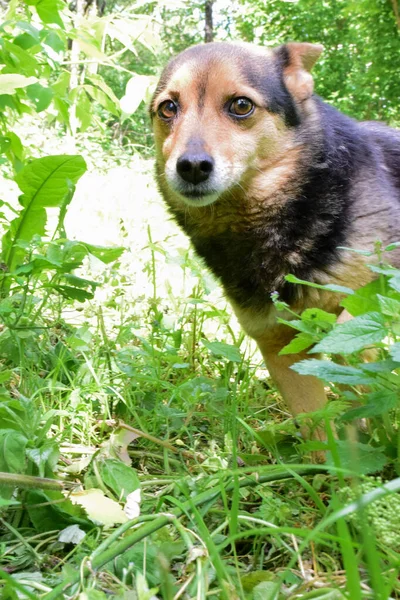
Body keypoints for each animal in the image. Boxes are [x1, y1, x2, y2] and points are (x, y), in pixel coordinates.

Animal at [149, 41, 400, 436]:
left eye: (241, 105)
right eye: (168, 108)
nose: (191, 166)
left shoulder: (383, 285)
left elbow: (351, 332)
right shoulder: (279, 346)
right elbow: (319, 430)